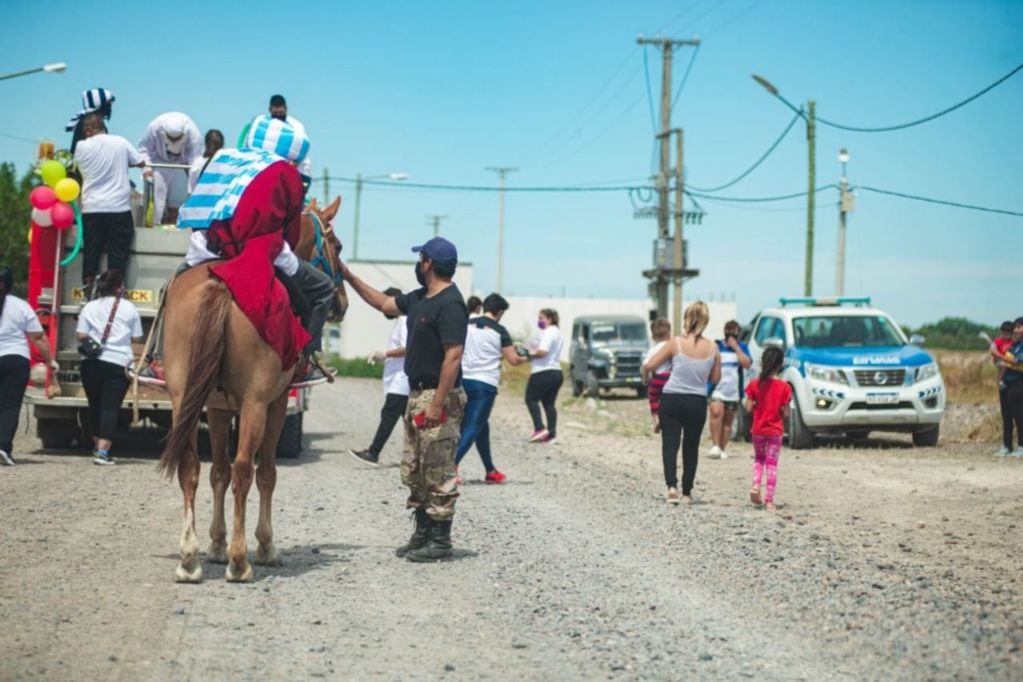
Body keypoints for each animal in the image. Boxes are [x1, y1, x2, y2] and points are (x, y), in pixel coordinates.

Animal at [157, 200, 345, 584]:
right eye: (337, 245)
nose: (342, 302)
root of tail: (220, 285)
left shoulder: (216, 407)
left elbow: (218, 471)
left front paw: (215, 544)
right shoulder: (275, 403)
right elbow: (266, 473)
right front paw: (264, 546)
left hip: (183, 399)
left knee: (190, 466)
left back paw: (189, 559)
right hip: (256, 405)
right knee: (245, 469)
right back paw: (240, 561)